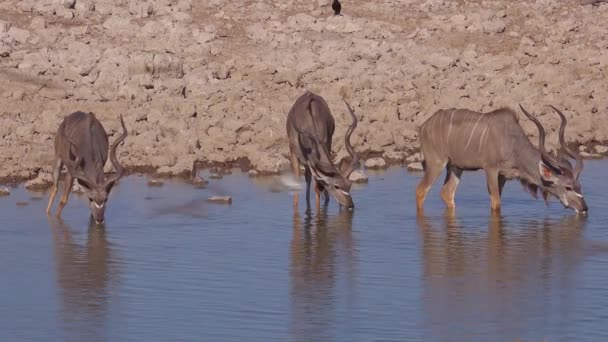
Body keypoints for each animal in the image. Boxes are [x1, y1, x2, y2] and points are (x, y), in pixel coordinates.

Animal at [416, 105, 588, 212]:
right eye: (568, 187)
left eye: (579, 186)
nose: (584, 208)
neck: (511, 142)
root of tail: (423, 126)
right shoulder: (491, 169)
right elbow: (496, 203)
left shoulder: (503, 175)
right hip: (436, 163)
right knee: (421, 190)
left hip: (456, 167)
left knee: (447, 193)